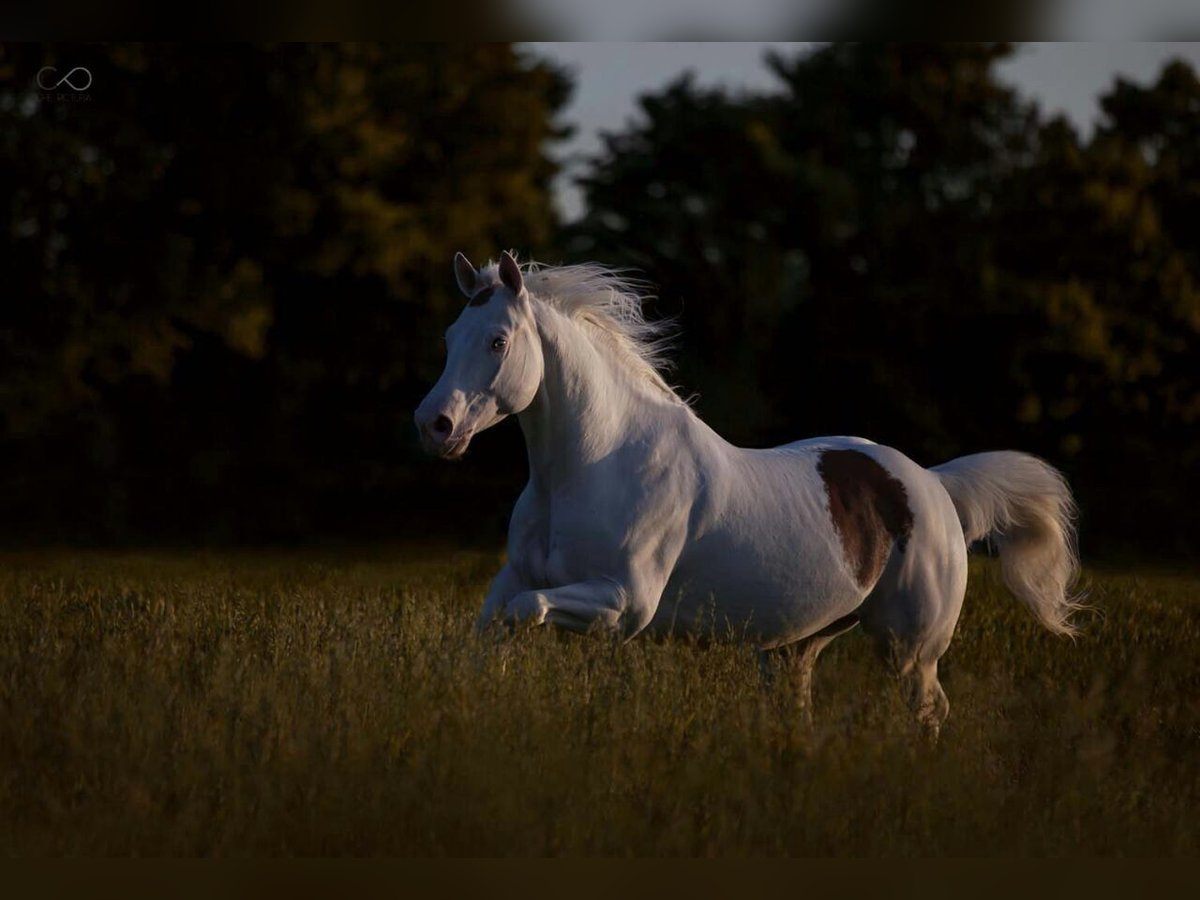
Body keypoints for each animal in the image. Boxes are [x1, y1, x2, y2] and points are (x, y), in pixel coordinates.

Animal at [417, 250, 1084, 734]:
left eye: (498, 341)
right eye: (448, 337)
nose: (434, 426)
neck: (592, 468)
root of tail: (934, 487)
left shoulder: (623, 604)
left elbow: (525, 613)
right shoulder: (518, 580)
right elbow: (491, 629)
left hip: (911, 649)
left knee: (928, 713)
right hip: (797, 646)